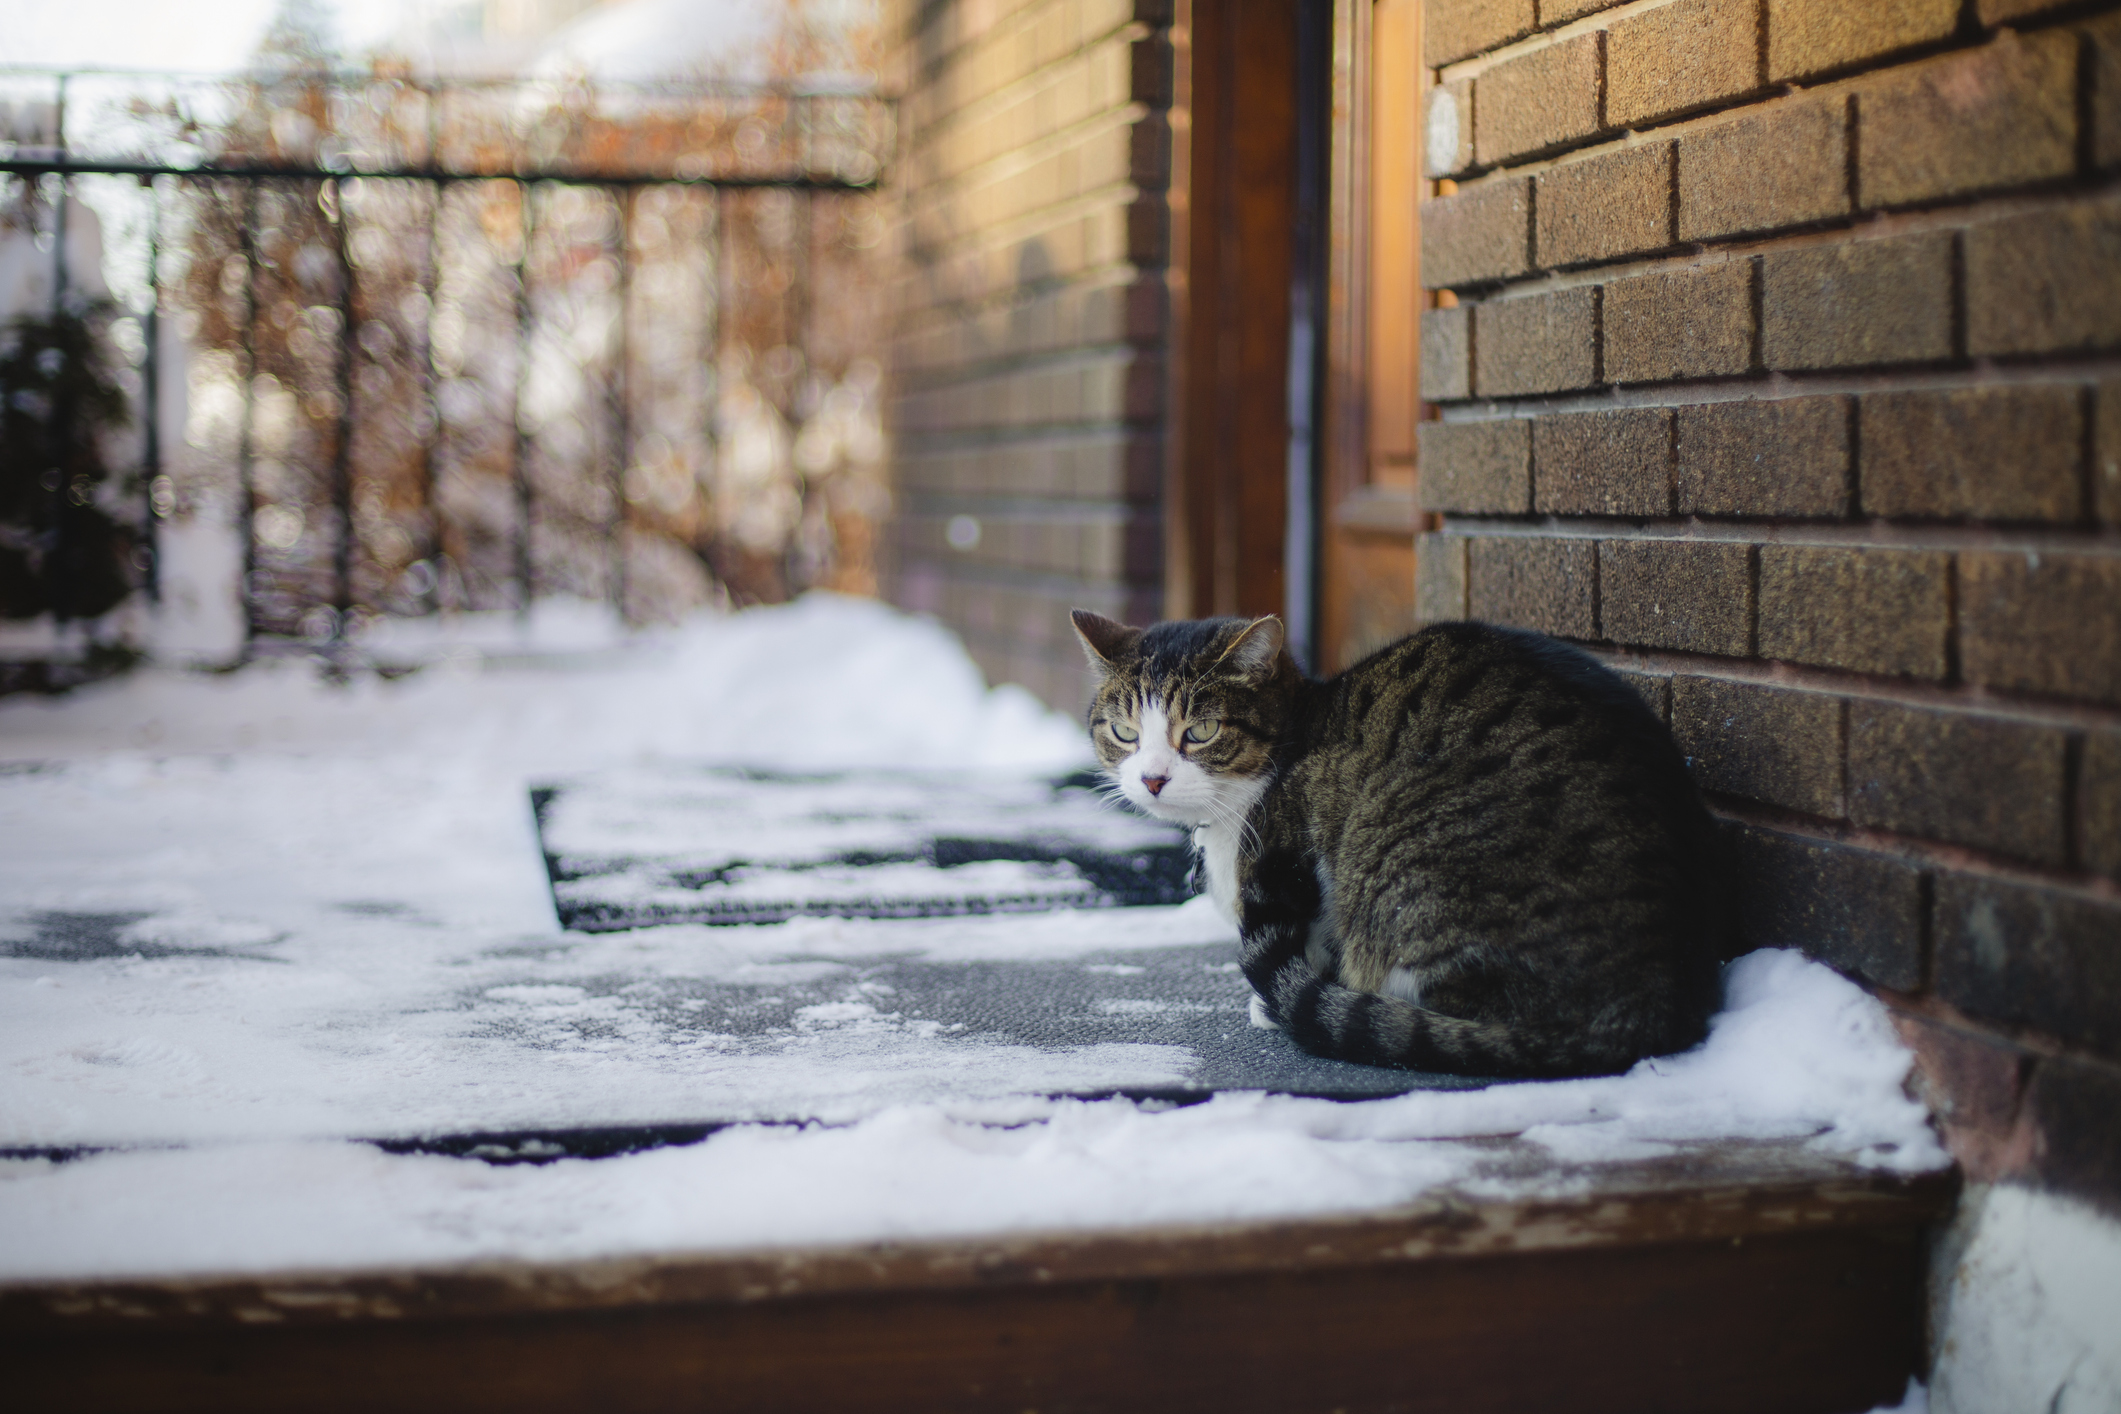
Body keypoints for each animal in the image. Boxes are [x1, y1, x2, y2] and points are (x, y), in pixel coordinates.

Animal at [1068, 610, 1730, 1085]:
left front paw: (1275, 1002)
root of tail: (1647, 1000)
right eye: (1124, 732)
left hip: (1399, 865)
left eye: (1201, 731)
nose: (1153, 778)